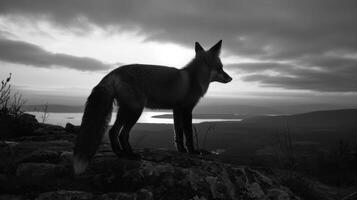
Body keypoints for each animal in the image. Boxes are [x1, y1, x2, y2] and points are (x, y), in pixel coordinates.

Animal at [73, 40, 232, 173]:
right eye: (221, 68)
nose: (230, 78)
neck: (193, 78)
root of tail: (113, 72)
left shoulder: (176, 109)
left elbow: (178, 134)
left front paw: (181, 151)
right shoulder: (187, 109)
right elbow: (188, 134)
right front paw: (192, 152)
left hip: (125, 110)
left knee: (113, 131)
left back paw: (121, 154)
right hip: (135, 110)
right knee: (122, 133)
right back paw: (130, 155)